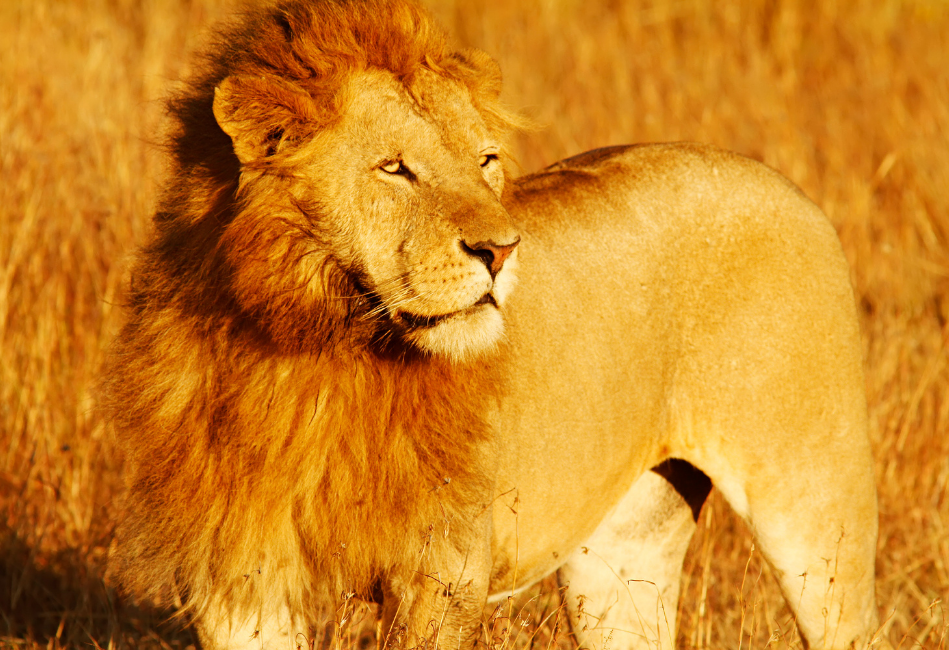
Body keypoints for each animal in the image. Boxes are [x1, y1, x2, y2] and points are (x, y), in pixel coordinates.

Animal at [103, 1, 880, 648]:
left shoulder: (442, 575)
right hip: (622, 554)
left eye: (485, 161)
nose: (503, 251)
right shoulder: (239, 578)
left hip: (814, 511)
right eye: (395, 169)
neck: (311, 349)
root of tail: (788, 188)